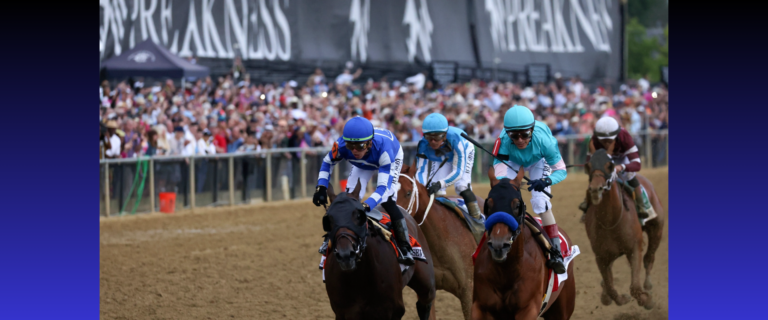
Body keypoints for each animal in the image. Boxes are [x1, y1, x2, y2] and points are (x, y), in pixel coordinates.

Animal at [320, 180, 436, 320]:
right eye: (329, 219)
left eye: (358, 216)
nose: (345, 255)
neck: (359, 277)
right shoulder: (345, 312)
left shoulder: (393, 311)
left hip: (426, 283)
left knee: (425, 302)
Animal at [472, 166, 572, 318]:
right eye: (488, 204)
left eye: (517, 204)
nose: (498, 245)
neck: (506, 271)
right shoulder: (480, 307)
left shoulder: (528, 308)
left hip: (561, 310)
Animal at [584, 150, 664, 310]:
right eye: (588, 166)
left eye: (610, 166)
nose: (595, 189)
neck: (611, 220)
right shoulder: (600, 256)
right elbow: (609, 285)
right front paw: (617, 298)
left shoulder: (634, 248)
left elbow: (635, 287)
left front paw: (647, 300)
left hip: (657, 228)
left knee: (649, 258)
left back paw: (648, 284)